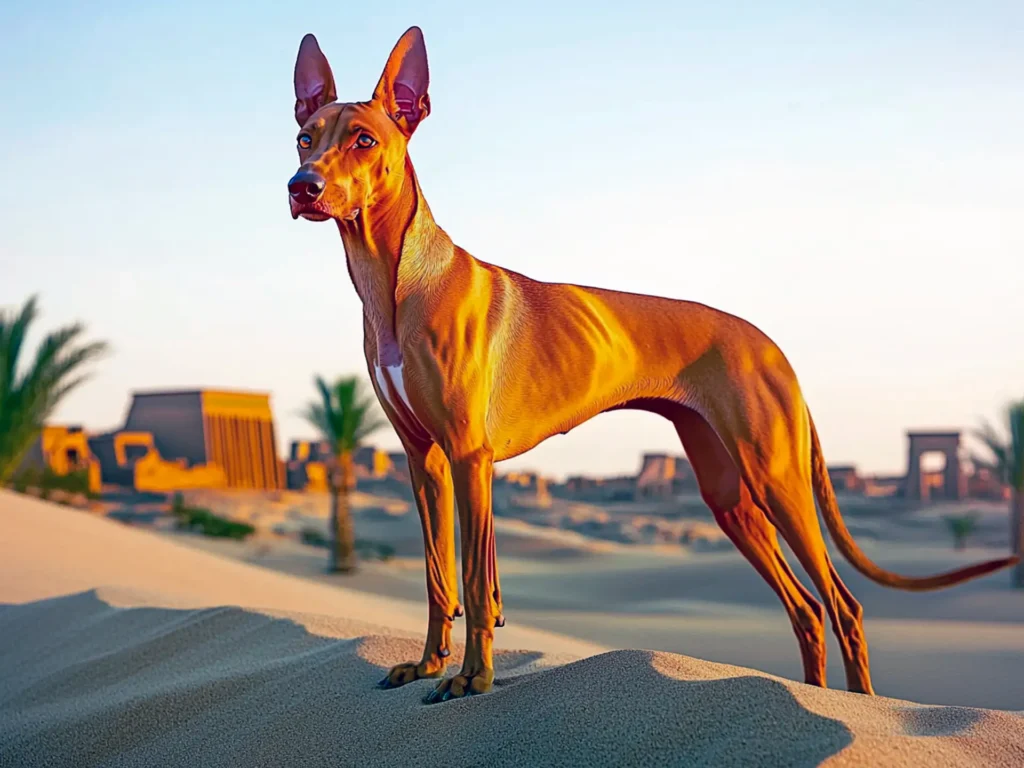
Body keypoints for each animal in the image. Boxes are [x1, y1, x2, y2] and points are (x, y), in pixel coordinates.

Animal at [286, 28, 1015, 704]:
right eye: (304, 137)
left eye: (364, 140)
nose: (302, 186)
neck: (396, 281)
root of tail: (772, 345)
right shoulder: (424, 459)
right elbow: (440, 576)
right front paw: (428, 667)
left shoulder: (469, 457)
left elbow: (471, 576)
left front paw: (473, 679)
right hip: (729, 496)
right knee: (807, 610)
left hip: (776, 479)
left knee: (844, 605)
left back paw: (856, 705)